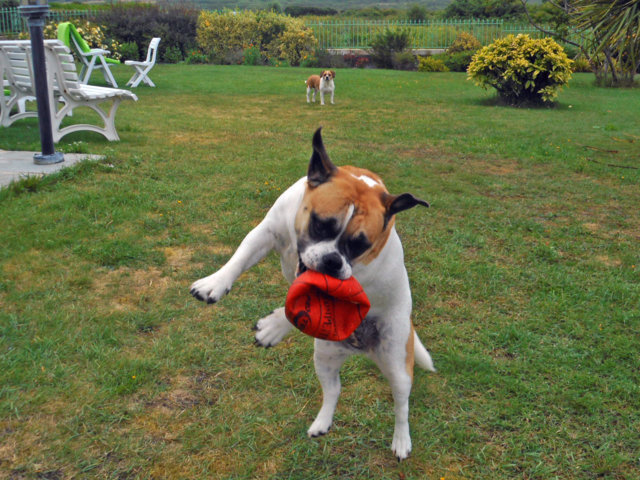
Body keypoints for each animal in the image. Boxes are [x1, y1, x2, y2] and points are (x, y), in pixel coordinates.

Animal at [190, 128, 435, 460]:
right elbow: (239, 258)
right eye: (321, 224)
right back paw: (322, 423)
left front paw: (273, 327)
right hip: (325, 357)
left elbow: (297, 306)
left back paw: (401, 440)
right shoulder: (265, 232)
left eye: (360, 245)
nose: (333, 261)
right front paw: (215, 283)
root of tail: (360, 349)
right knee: (333, 390)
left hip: (397, 363)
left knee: (401, 404)